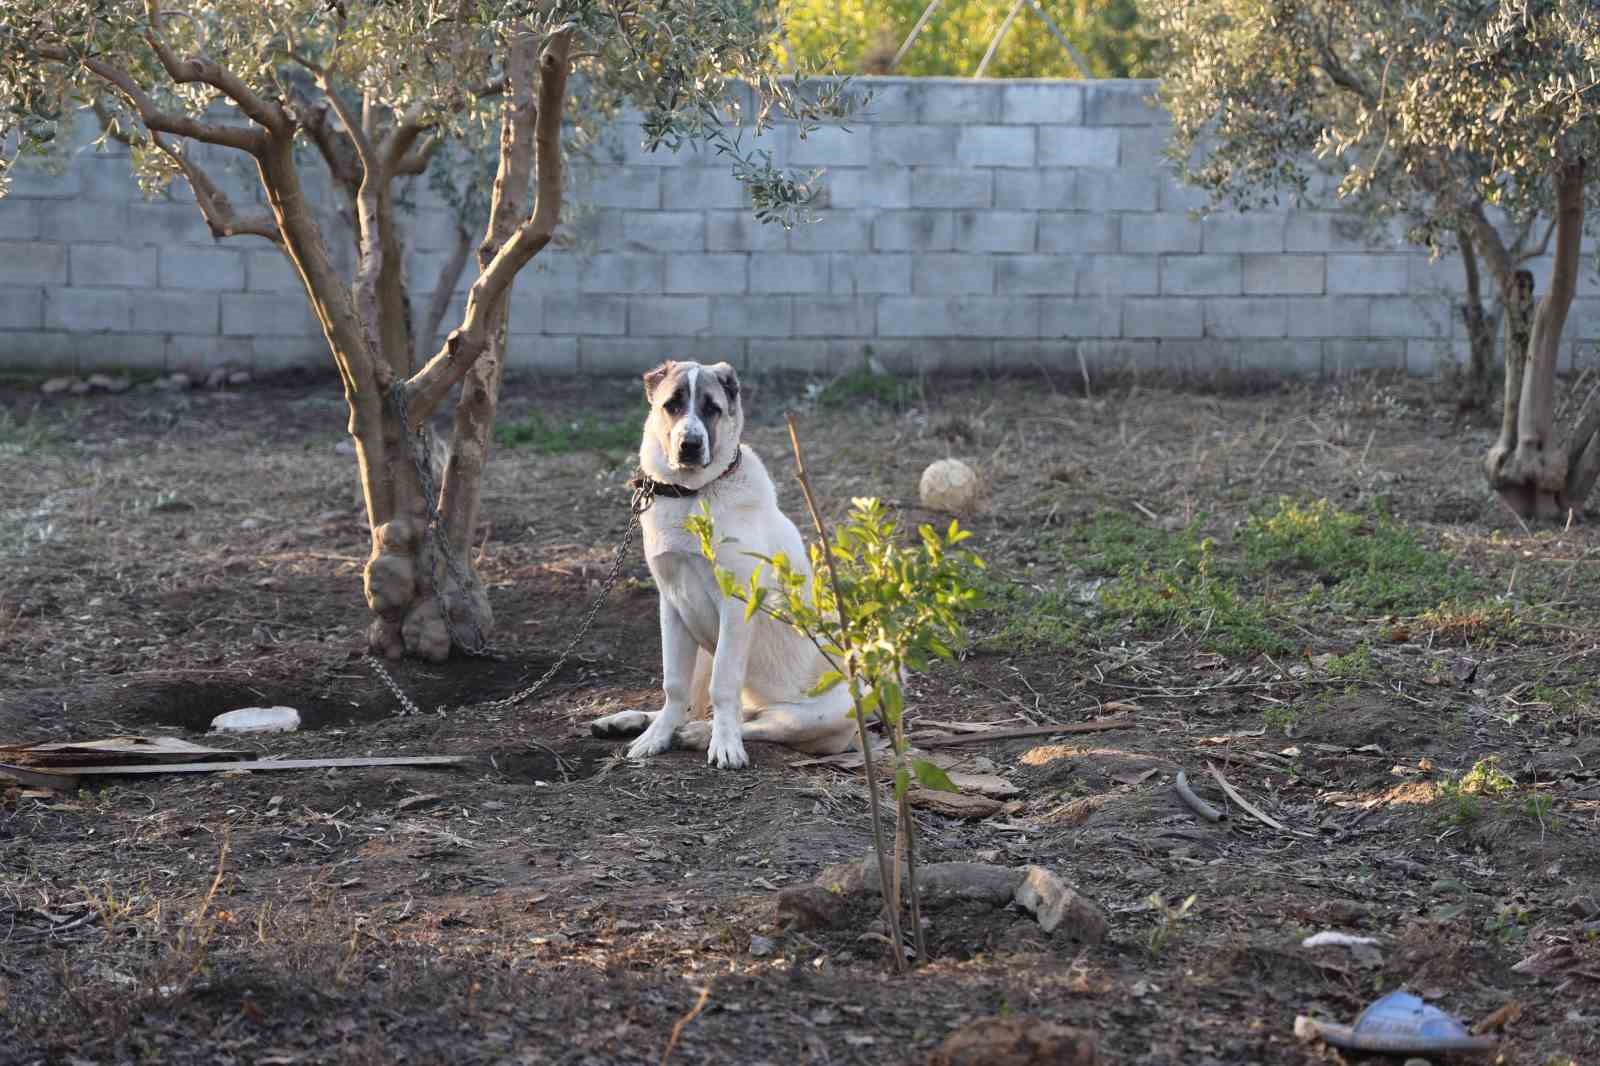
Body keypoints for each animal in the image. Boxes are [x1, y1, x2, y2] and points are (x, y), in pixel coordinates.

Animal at [592, 356, 864, 765]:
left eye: (712, 408)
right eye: (672, 405)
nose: (689, 445)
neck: (692, 493)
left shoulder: (736, 607)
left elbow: (724, 685)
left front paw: (724, 745)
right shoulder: (672, 605)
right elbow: (674, 684)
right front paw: (656, 737)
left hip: (821, 712)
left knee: (759, 722)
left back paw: (701, 733)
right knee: (697, 704)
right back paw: (632, 721)